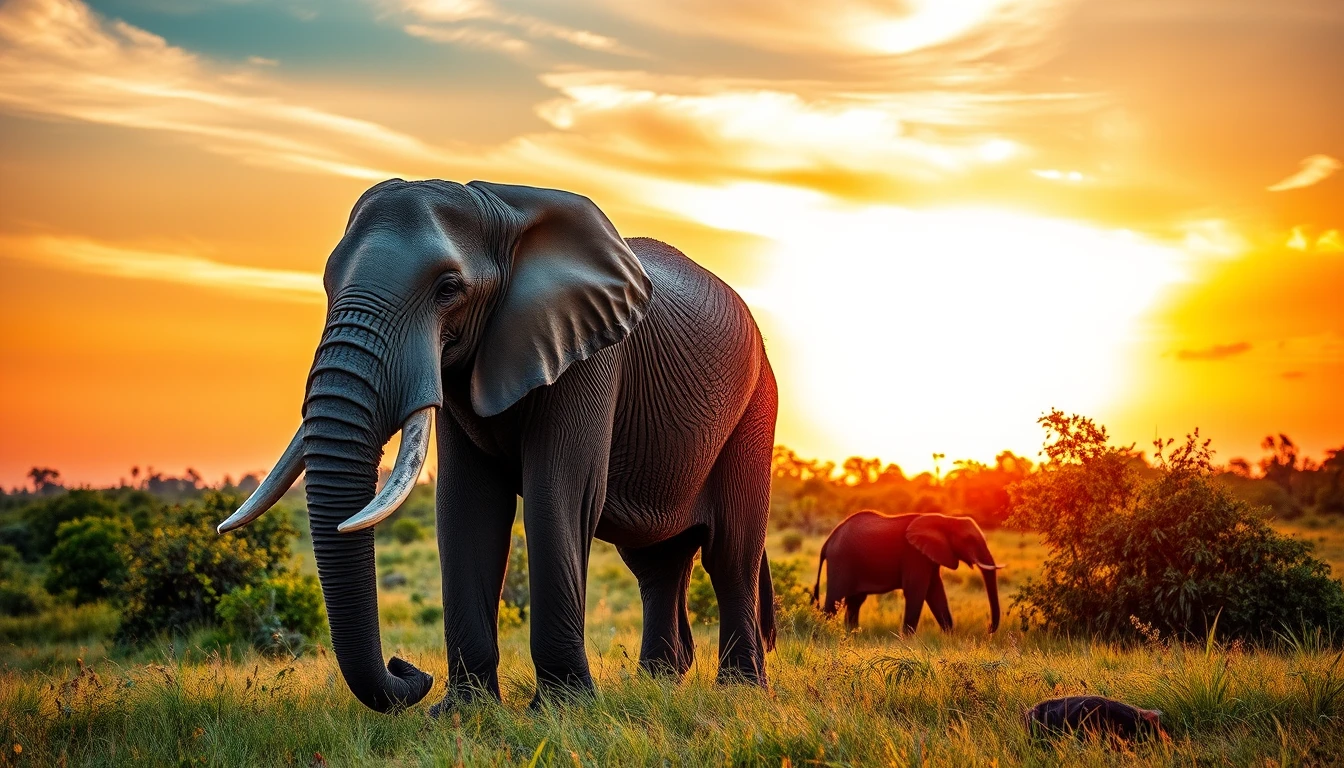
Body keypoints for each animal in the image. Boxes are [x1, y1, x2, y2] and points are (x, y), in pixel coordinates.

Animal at [217, 179, 778, 714]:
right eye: (328, 283)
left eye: (448, 289)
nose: (408, 670)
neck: (501, 212)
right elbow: (468, 506)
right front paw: (461, 712)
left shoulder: (590, 354)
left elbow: (558, 497)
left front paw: (562, 711)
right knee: (656, 562)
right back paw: (657, 683)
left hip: (756, 408)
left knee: (730, 554)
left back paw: (739, 692)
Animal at [811, 511, 1002, 633]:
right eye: (968, 539)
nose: (988, 628)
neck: (946, 520)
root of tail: (828, 541)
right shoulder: (914, 555)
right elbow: (916, 592)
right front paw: (907, 641)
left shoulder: (929, 556)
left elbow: (936, 592)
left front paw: (949, 636)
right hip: (840, 562)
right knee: (834, 602)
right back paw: (825, 633)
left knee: (855, 602)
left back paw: (853, 634)